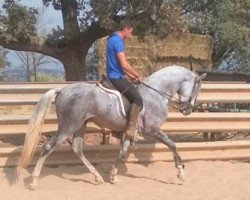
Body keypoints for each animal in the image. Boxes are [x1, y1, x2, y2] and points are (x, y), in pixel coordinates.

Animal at [19, 65, 207, 189]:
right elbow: (173, 145)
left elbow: (123, 151)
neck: (156, 93)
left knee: (77, 148)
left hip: (80, 125)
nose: (188, 110)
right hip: (69, 126)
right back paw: (33, 181)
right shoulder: (152, 130)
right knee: (48, 147)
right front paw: (180, 173)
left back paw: (97, 177)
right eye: (197, 88)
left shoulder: (130, 131)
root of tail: (62, 90)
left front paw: (113, 175)